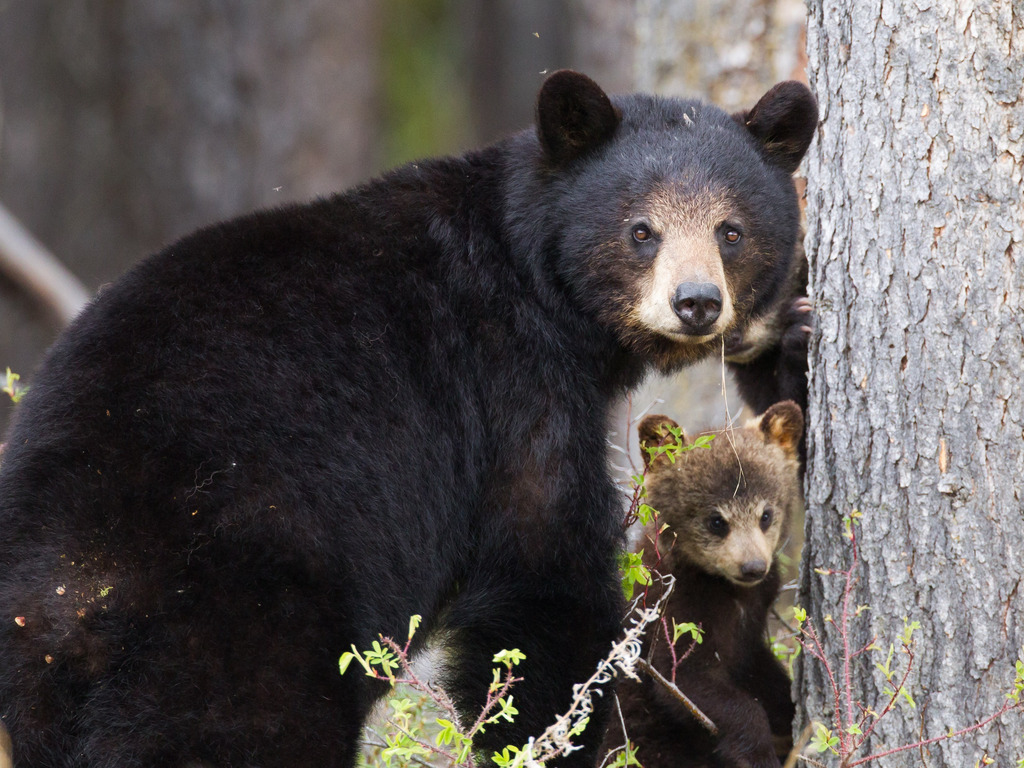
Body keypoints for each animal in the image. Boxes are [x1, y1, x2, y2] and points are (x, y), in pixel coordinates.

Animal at [603, 402, 804, 768]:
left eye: (766, 515)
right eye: (716, 521)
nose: (753, 567)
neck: (725, 589)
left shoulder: (751, 620)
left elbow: (760, 671)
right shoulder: (674, 611)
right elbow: (691, 681)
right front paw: (760, 753)